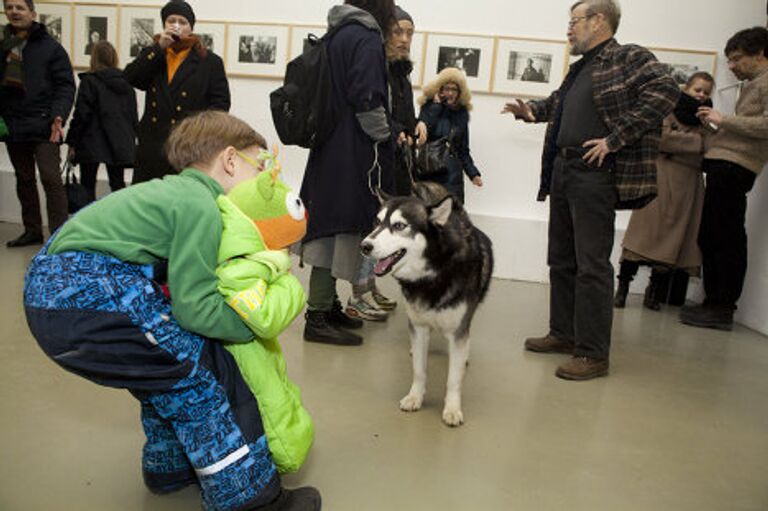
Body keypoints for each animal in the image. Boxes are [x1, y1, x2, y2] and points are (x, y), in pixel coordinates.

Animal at [360, 184, 492, 428]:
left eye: (399, 226)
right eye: (377, 222)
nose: (364, 246)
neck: (432, 273)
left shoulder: (458, 331)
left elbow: (453, 379)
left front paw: (452, 408)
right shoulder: (419, 327)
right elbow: (419, 370)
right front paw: (415, 397)